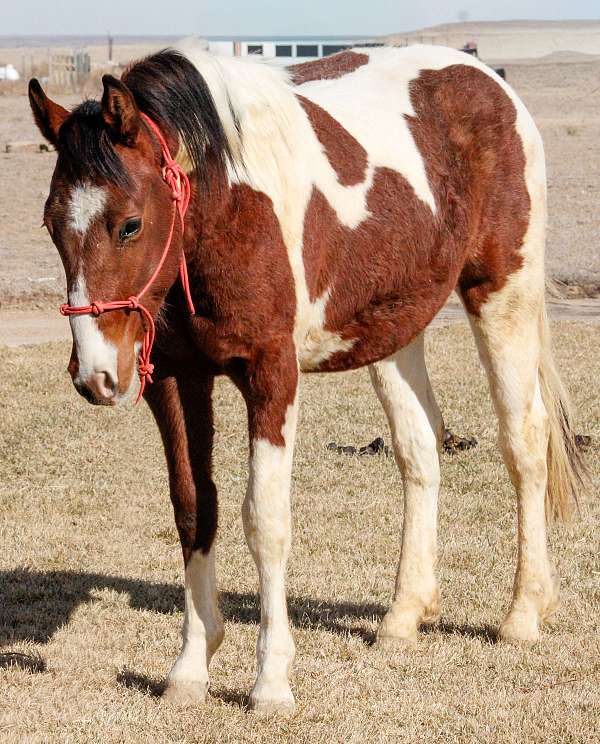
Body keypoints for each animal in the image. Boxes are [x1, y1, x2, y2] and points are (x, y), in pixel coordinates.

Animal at [29, 43, 586, 714]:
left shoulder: (271, 374)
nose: (95, 376)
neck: (225, 203)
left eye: (130, 224)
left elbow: (265, 520)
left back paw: (524, 613)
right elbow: (194, 510)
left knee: (524, 443)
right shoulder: (175, 380)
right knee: (420, 450)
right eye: (51, 224)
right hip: (396, 330)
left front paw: (271, 680)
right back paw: (404, 616)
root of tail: (487, 80)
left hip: (502, 293)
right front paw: (190, 669)